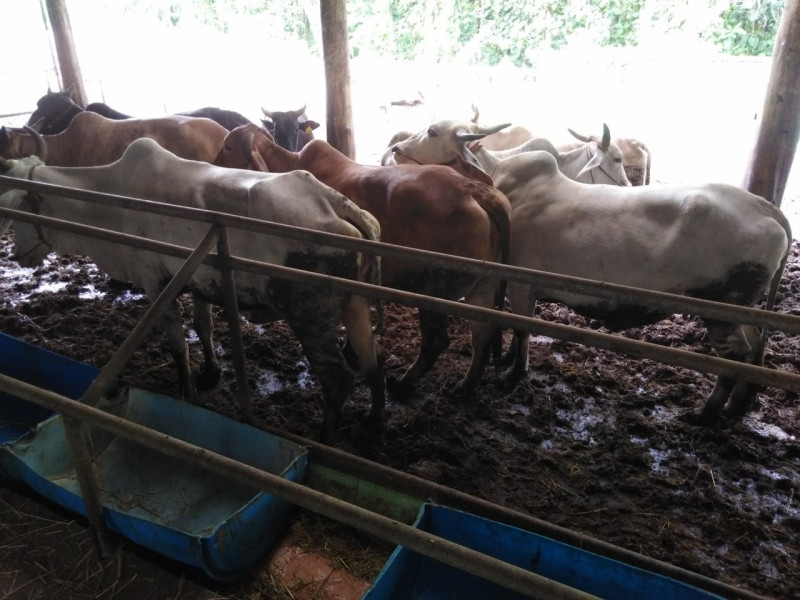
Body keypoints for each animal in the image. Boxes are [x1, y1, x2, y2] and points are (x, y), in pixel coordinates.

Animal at [0, 135, 385, 443]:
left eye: (17, 208)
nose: (18, 255)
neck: (111, 200)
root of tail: (334, 201)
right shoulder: (199, 282)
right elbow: (203, 328)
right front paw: (211, 373)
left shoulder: (156, 282)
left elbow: (177, 344)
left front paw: (187, 393)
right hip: (355, 303)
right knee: (372, 361)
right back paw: (372, 427)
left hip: (310, 316)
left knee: (338, 378)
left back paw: (325, 438)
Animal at [214, 123, 512, 394]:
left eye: (228, 146)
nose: (213, 164)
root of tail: (475, 189)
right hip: (482, 287)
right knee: (482, 333)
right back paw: (464, 387)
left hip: (433, 292)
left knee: (436, 340)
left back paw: (404, 383)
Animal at [392, 119, 792, 424]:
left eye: (432, 131)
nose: (395, 148)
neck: (498, 178)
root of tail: (765, 208)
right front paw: (504, 361)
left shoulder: (521, 283)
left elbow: (521, 329)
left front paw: (512, 375)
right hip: (743, 307)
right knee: (756, 345)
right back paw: (738, 406)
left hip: (724, 304)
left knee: (736, 355)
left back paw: (706, 413)